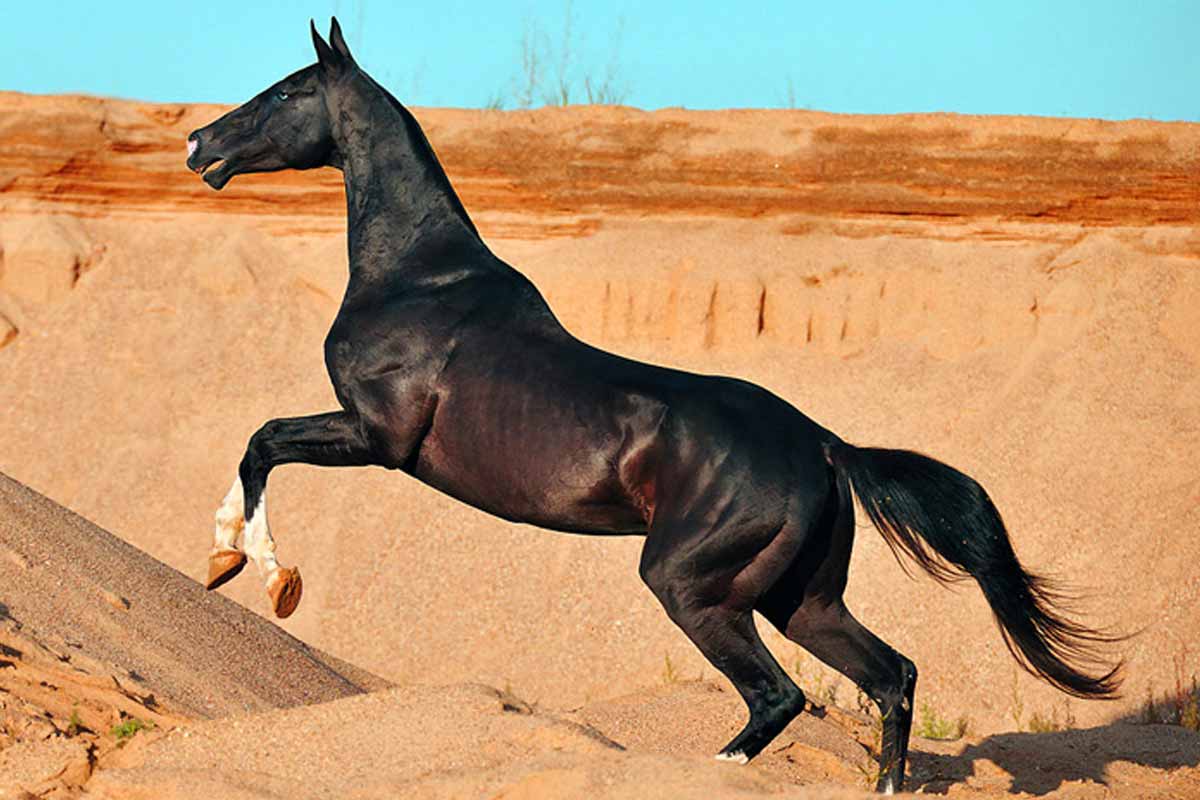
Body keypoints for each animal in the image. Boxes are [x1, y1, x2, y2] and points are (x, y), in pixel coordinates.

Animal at [185, 19, 1121, 793]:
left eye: (285, 91)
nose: (198, 142)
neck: (422, 278)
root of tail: (821, 444)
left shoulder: (377, 437)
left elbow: (262, 442)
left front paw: (258, 572)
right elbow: (258, 445)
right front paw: (226, 560)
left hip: (689, 584)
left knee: (778, 696)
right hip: (801, 600)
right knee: (890, 676)